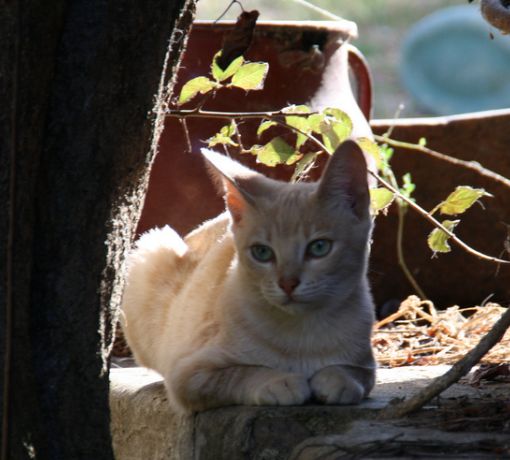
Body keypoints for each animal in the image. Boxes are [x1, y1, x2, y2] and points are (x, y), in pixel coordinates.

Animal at [119, 139, 374, 414]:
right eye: (262, 252)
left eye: (319, 248)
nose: (287, 283)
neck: (303, 334)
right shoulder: (187, 374)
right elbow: (241, 374)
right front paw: (280, 382)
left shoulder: (366, 362)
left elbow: (355, 373)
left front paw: (337, 380)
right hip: (152, 248)